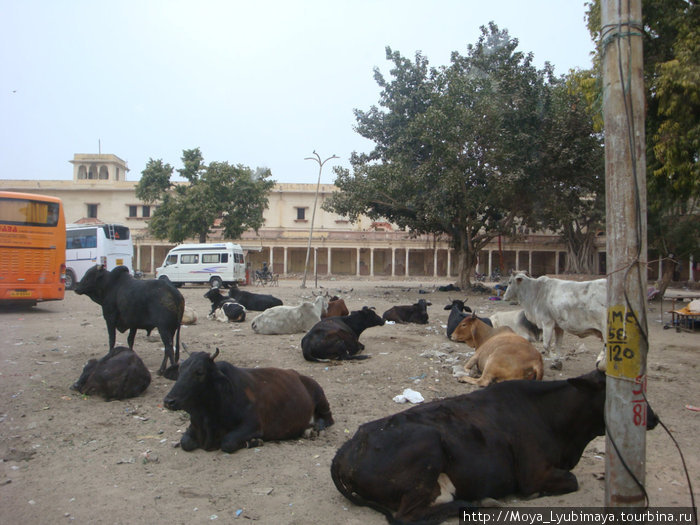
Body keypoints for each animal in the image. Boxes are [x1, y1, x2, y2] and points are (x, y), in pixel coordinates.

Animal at [164, 348, 334, 450]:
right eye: (180, 369)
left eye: (199, 372)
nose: (169, 401)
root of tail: (297, 375)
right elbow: (185, 442)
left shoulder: (252, 425)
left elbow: (228, 442)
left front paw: (254, 441)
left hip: (321, 398)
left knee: (327, 419)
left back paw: (315, 428)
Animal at [330, 368, 660, 524]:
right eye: (615, 393)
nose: (652, 418)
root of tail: (348, 447)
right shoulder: (534, 474)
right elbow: (571, 480)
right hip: (428, 448)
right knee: (406, 517)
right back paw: (474, 504)